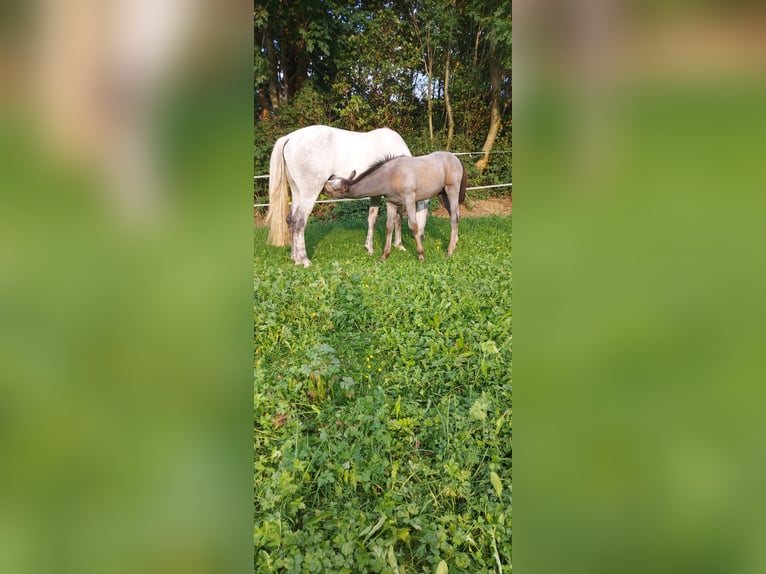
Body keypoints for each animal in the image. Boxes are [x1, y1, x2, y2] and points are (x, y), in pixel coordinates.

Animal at [265, 125, 429, 266]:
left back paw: (295, 258)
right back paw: (304, 259)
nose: (422, 237)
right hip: (309, 192)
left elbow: (373, 218)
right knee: (299, 221)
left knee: (290, 220)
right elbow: (397, 218)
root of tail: (289, 138)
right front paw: (399, 245)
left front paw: (370, 248)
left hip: (297, 191)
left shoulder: (376, 194)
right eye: (424, 209)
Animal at [324, 152, 467, 261]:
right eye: (334, 180)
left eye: (336, 188)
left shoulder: (409, 199)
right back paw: (455, 242)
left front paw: (421, 255)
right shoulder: (391, 202)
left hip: (452, 190)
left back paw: (449, 251)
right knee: (455, 215)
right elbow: (389, 226)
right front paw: (384, 255)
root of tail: (456, 158)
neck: (391, 175)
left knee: (454, 217)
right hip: (442, 194)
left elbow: (413, 225)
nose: (325, 183)